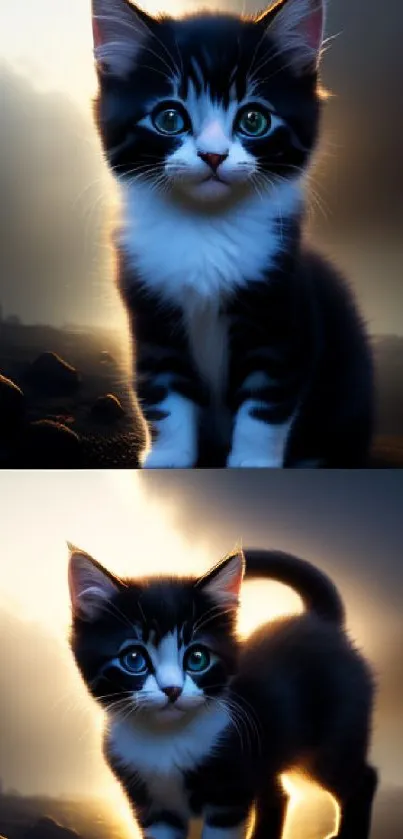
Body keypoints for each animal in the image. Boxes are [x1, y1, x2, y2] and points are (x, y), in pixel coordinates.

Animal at [68, 544, 378, 839]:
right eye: (133, 659)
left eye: (197, 658)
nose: (172, 689)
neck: (166, 741)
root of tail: (322, 622)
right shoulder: (153, 807)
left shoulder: (229, 795)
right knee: (277, 794)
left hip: (334, 738)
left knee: (362, 779)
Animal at [90, 0, 374, 470]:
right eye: (169, 118)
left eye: (254, 120)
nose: (213, 156)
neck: (206, 229)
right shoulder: (151, 317)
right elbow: (163, 392)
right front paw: (168, 459)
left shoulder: (283, 311)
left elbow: (266, 401)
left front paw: (252, 463)